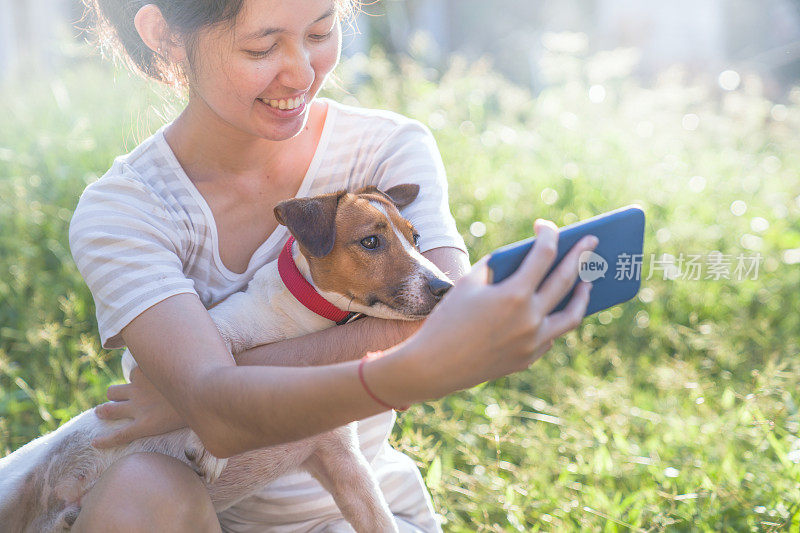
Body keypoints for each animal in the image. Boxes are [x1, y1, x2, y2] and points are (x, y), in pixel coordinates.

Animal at [0, 184, 454, 532]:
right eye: (370, 242)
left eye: (415, 239)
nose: (445, 287)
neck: (304, 321)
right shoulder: (201, 340)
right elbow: (216, 377)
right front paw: (209, 448)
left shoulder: (341, 461)